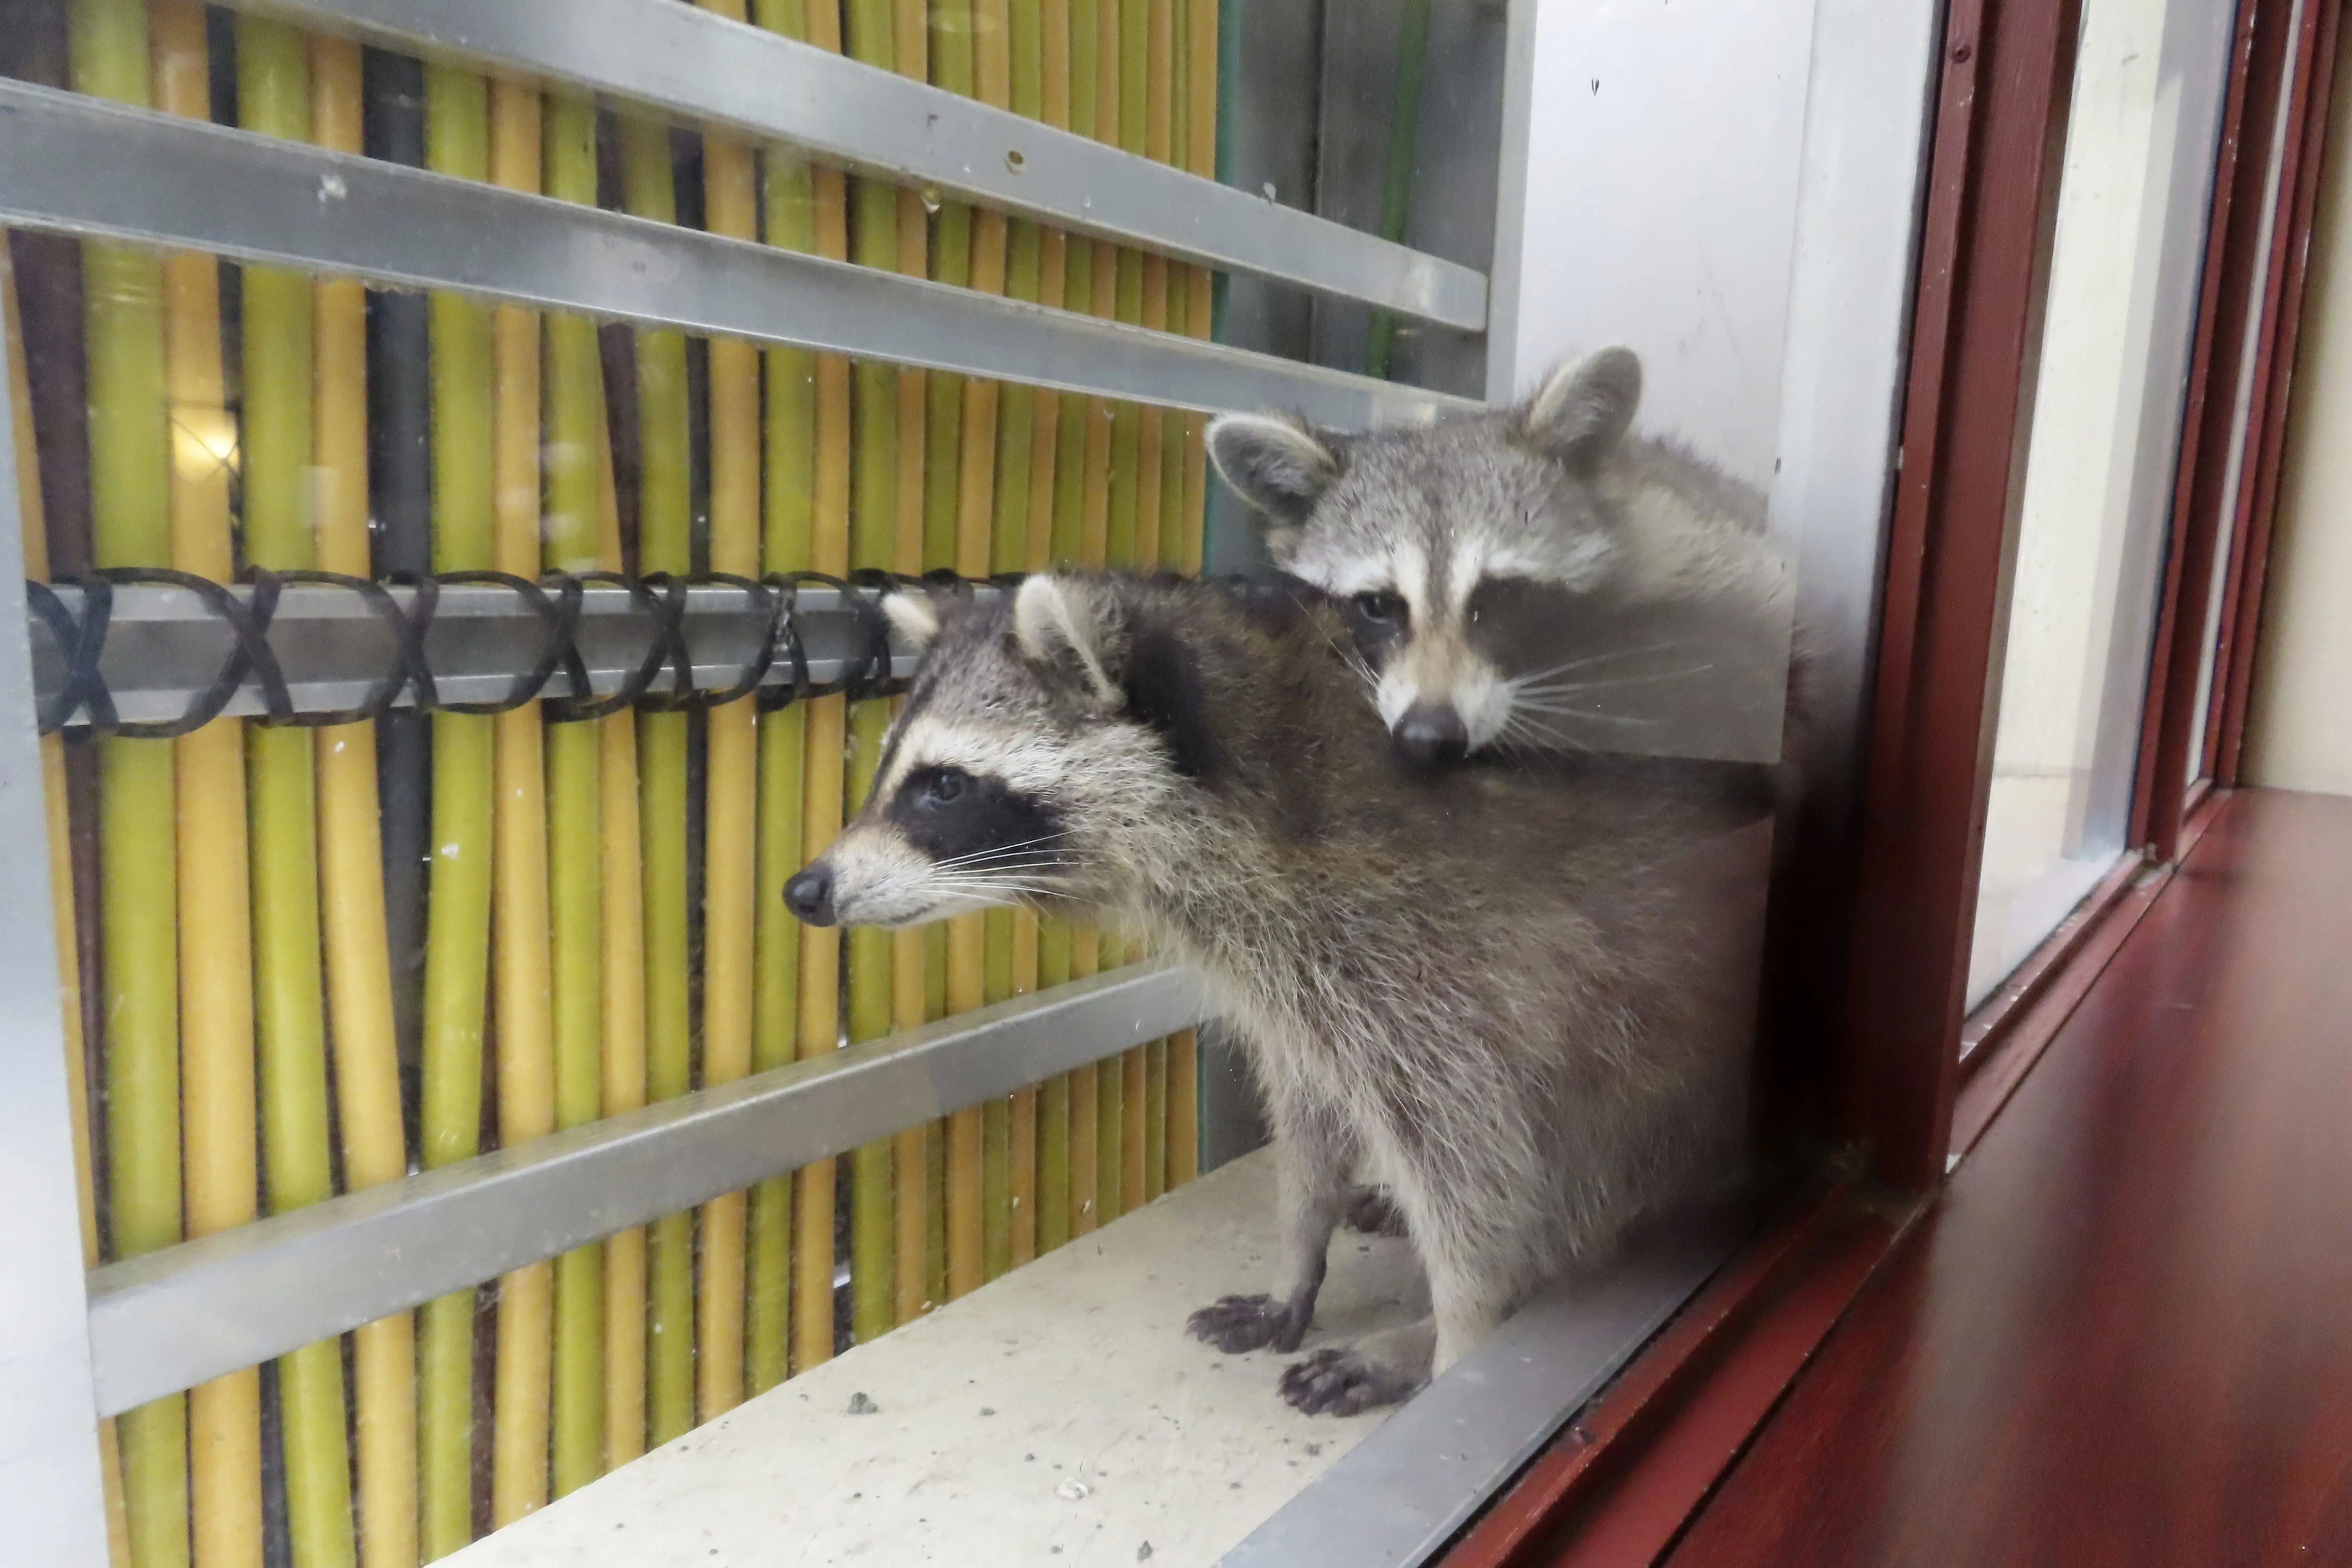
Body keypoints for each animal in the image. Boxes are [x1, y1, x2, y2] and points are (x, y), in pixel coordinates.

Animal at [784, 572, 1769, 1414]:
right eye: (889, 768)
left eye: (944, 786)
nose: (805, 889)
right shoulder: (1307, 983)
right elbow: (1311, 1111)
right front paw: (1301, 1249)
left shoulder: (1441, 961)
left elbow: (1478, 1171)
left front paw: (1458, 1337)